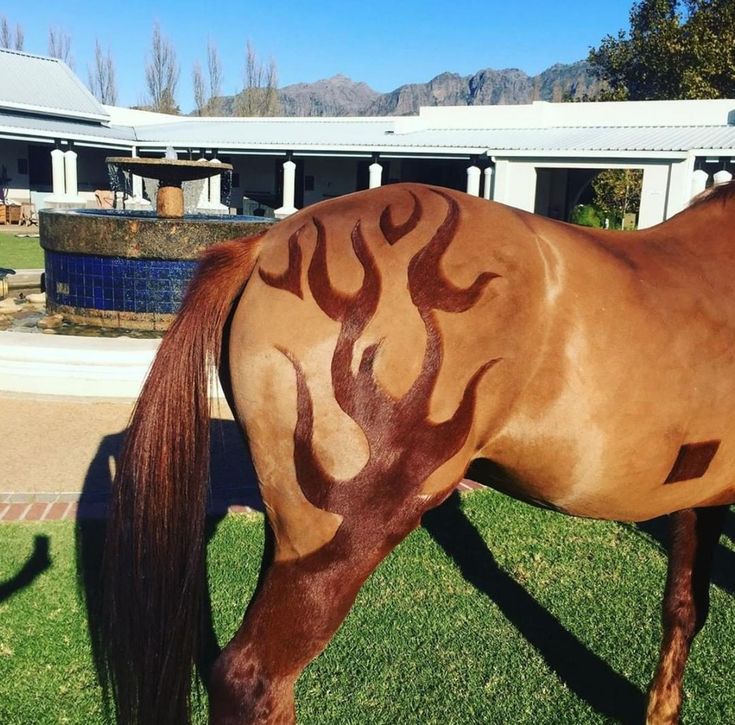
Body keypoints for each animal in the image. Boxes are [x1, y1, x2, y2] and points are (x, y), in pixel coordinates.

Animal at [102, 181, 735, 724]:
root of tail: (264, 244)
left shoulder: (699, 499)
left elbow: (684, 606)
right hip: (346, 532)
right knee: (251, 678)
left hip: (293, 529)